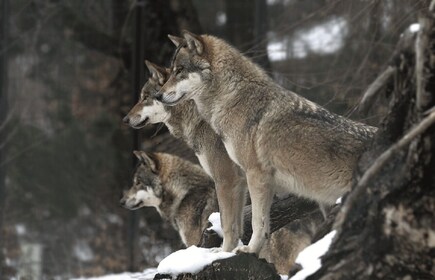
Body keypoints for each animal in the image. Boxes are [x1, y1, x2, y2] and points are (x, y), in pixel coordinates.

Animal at [156, 31, 378, 255]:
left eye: (179, 70)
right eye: (171, 71)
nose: (158, 95)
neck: (233, 98)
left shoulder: (253, 175)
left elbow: (254, 222)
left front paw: (247, 250)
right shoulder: (252, 181)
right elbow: (246, 224)